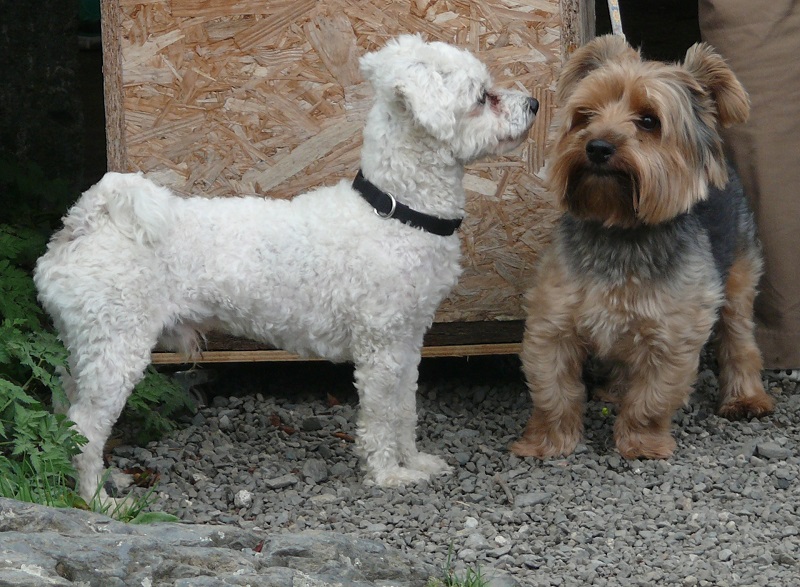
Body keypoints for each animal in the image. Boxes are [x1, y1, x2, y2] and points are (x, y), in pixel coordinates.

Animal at [36, 33, 536, 500]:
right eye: (483, 97)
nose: (533, 103)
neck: (395, 211)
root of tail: (86, 222)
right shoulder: (380, 347)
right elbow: (380, 415)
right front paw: (388, 474)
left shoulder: (409, 341)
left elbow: (405, 410)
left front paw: (414, 463)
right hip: (116, 348)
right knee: (85, 428)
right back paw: (98, 501)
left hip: (85, 348)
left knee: (64, 414)